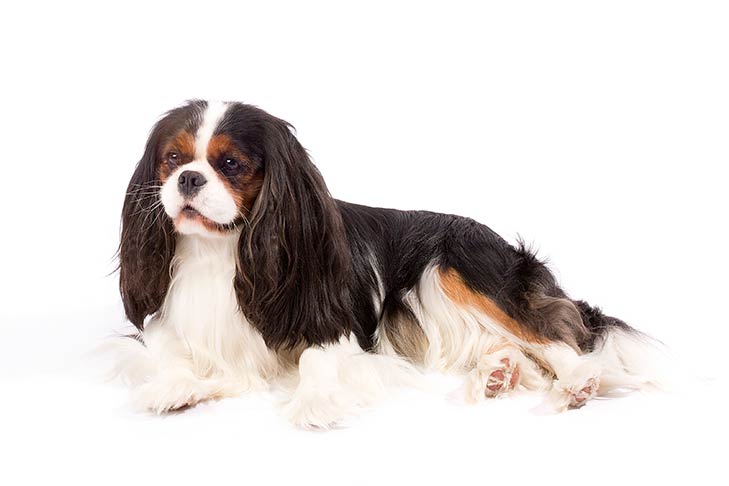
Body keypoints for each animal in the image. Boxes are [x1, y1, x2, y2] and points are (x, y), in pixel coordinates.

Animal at [112, 99, 660, 426]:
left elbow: (315, 359)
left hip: (458, 270)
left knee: (556, 336)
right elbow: (168, 350)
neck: (221, 251)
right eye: (172, 160)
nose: (188, 179)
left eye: (230, 165)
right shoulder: (166, 323)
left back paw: (577, 382)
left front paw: (314, 400)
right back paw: (497, 374)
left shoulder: (338, 325)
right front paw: (176, 387)